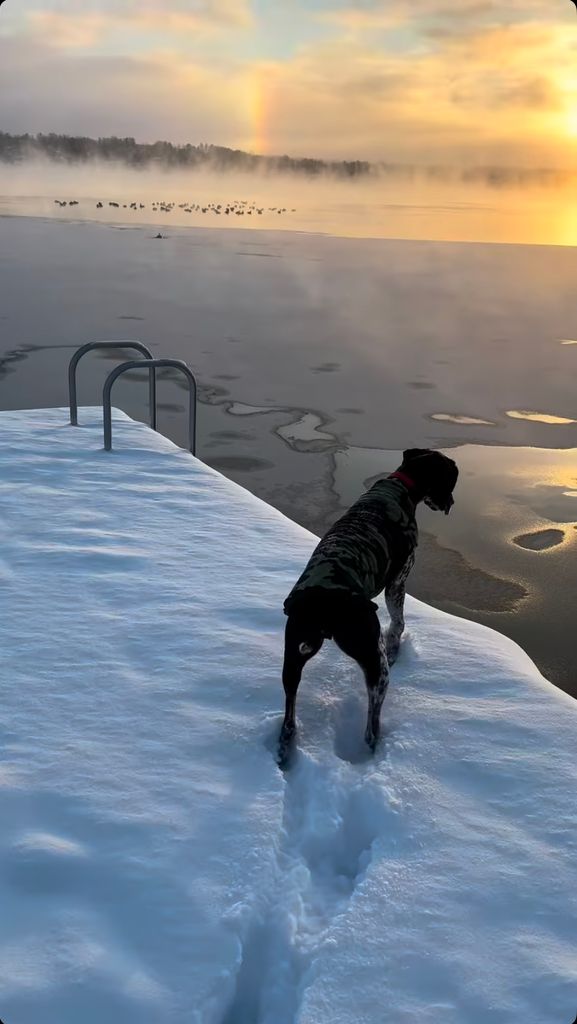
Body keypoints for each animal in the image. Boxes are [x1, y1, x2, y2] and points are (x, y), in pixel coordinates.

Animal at [276, 448, 459, 770]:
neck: (402, 486)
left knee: (289, 722)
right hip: (376, 666)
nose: (451, 503)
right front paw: (397, 646)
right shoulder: (397, 581)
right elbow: (398, 623)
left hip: (291, 662)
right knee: (370, 728)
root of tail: (321, 605)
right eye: (449, 480)